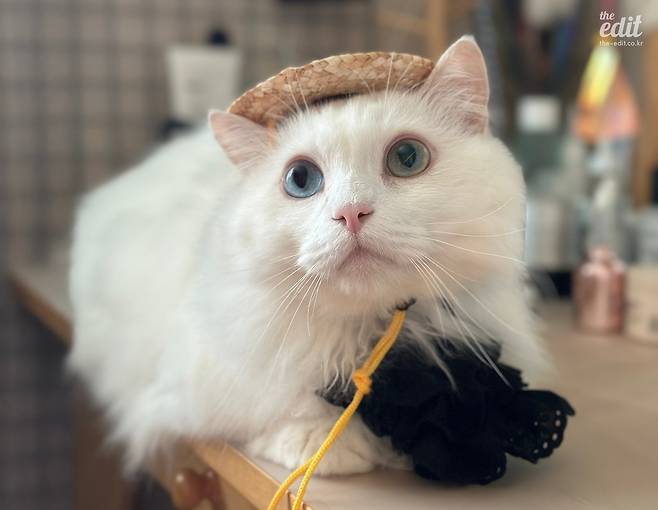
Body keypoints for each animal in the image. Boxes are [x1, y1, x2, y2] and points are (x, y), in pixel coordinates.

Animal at [68, 36, 546, 476]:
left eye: (407, 157)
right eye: (300, 179)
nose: (351, 213)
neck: (365, 338)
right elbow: (282, 406)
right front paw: (326, 443)